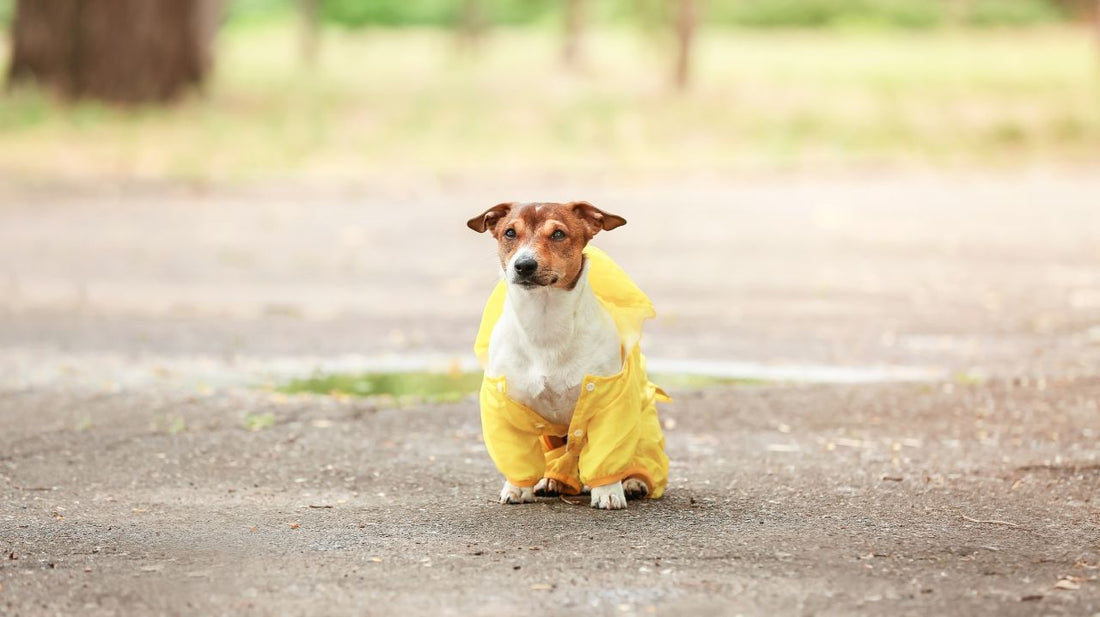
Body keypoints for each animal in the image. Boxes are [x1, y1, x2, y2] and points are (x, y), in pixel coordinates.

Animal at [466, 202, 668, 510]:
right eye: (509, 232)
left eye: (558, 234)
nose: (524, 265)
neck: (544, 324)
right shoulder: (506, 406)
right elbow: (517, 457)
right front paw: (517, 488)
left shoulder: (610, 403)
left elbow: (607, 454)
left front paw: (608, 491)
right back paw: (553, 480)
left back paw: (633, 482)